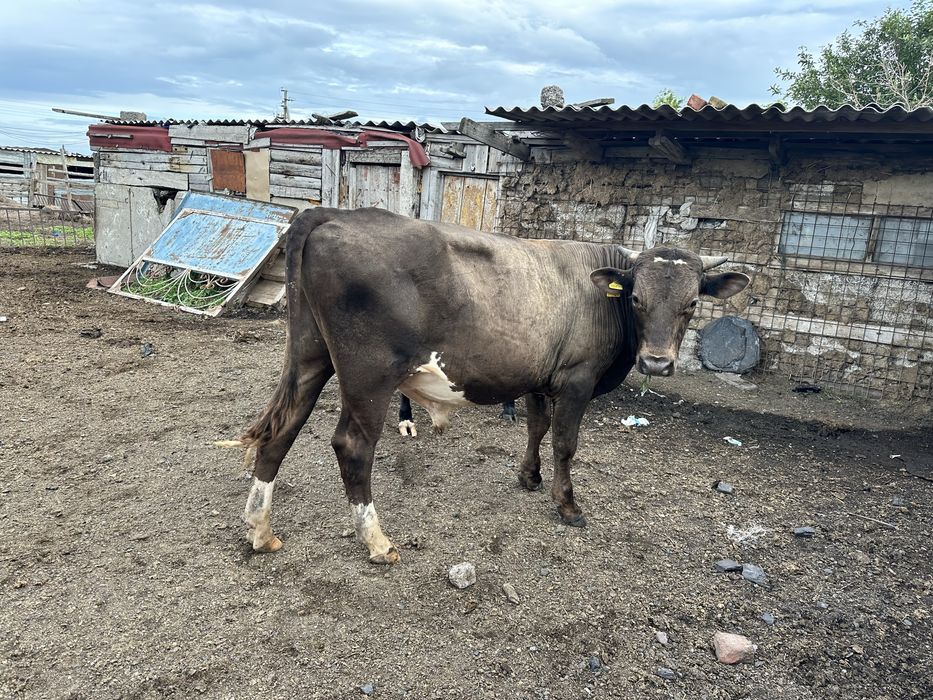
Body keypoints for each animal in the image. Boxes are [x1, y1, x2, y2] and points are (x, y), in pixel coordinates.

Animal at [232, 207, 749, 563]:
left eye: (690, 304)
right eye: (637, 298)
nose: (658, 362)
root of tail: (335, 213)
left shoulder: (541, 378)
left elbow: (536, 428)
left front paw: (529, 477)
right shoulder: (577, 380)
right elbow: (565, 443)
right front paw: (567, 505)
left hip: (310, 355)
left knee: (281, 430)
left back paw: (260, 530)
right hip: (368, 374)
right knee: (352, 446)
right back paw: (376, 540)